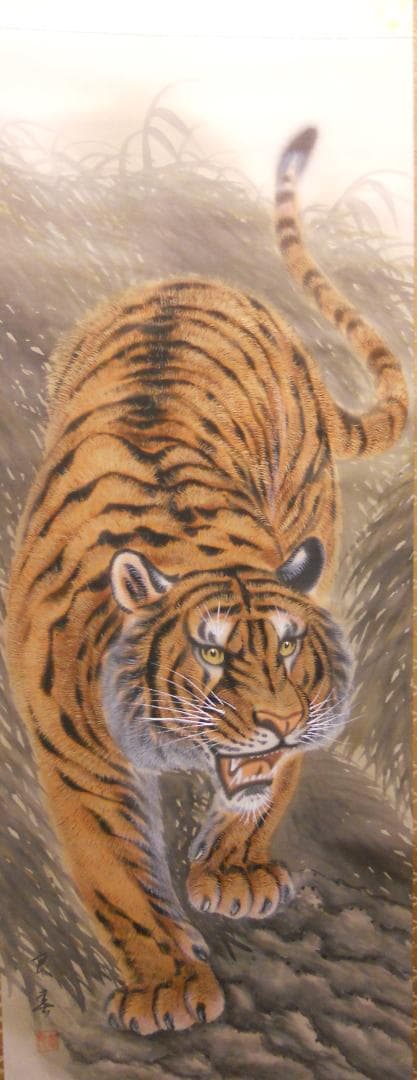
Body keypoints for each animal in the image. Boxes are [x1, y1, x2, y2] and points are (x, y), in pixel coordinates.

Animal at [6, 127, 408, 1036]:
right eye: (214, 656)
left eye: (290, 651)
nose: (281, 723)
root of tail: (196, 281)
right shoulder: (75, 753)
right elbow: (113, 873)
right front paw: (164, 983)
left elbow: (265, 789)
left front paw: (233, 872)